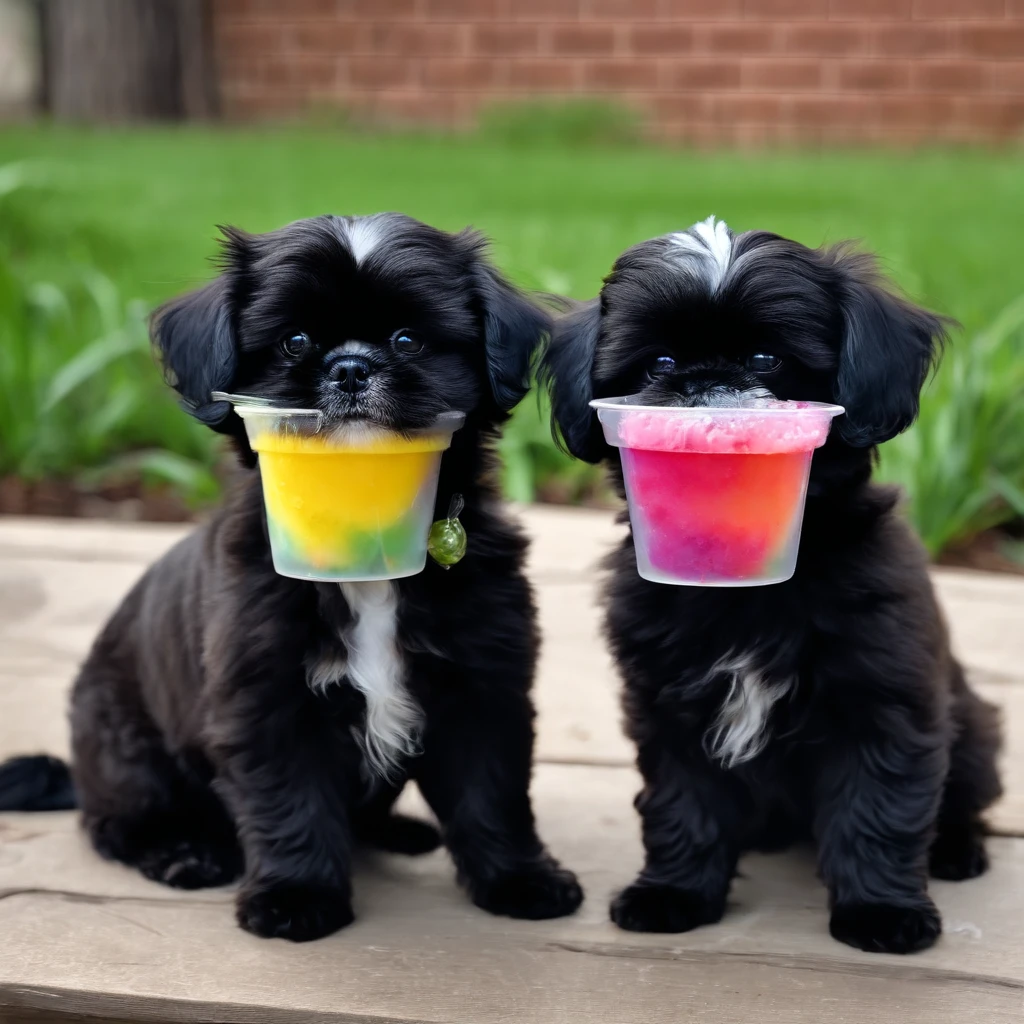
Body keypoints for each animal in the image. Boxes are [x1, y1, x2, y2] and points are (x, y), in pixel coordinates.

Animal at [0, 211, 581, 937]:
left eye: (409, 339)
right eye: (295, 340)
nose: (352, 366)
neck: (367, 559)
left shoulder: (484, 684)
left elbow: (491, 792)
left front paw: (519, 880)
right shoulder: (266, 697)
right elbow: (290, 797)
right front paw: (295, 897)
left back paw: (403, 832)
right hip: (127, 748)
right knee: (115, 822)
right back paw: (182, 853)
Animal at [548, 218, 1003, 958]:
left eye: (766, 359)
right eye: (659, 364)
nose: (704, 383)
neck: (742, 582)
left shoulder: (885, 703)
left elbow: (880, 805)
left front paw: (881, 911)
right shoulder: (670, 706)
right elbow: (684, 802)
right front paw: (674, 893)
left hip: (976, 729)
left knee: (961, 793)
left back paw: (956, 849)